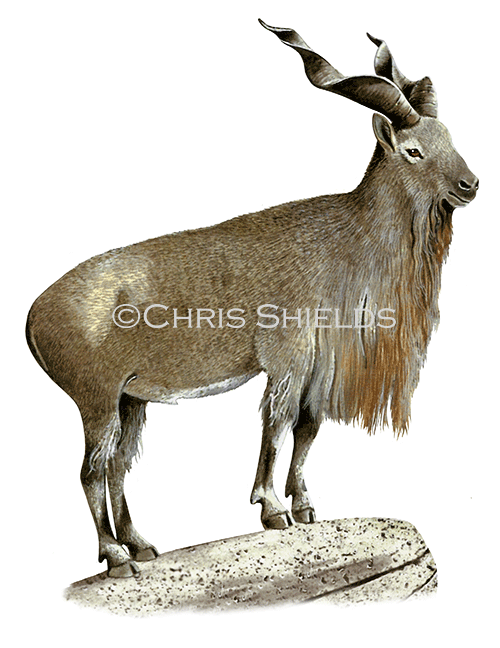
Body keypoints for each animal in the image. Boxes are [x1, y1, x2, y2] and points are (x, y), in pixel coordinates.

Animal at [26, 20, 478, 577]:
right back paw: (115, 557)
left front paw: (305, 505)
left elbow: (308, 427)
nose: (471, 184)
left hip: (129, 400)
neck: (345, 241)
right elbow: (276, 423)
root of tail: (32, 316)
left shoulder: (320, 363)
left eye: (450, 138)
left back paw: (141, 544)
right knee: (90, 470)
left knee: (117, 465)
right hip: (96, 398)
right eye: (413, 150)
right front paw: (272, 509)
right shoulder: (287, 356)